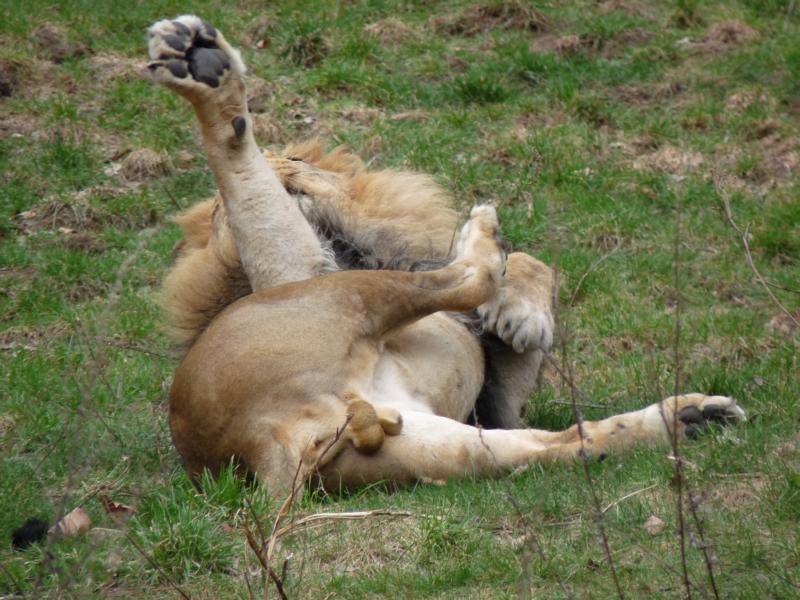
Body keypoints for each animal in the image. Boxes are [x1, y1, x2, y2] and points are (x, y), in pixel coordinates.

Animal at [146, 16, 745, 496]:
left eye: (297, 167)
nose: (288, 175)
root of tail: (267, 438)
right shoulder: (304, 268)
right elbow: (509, 272)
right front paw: (513, 298)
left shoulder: (497, 406)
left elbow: (530, 275)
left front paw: (520, 313)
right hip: (338, 295)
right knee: (468, 275)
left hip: (435, 440)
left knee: (552, 444)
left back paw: (691, 418)